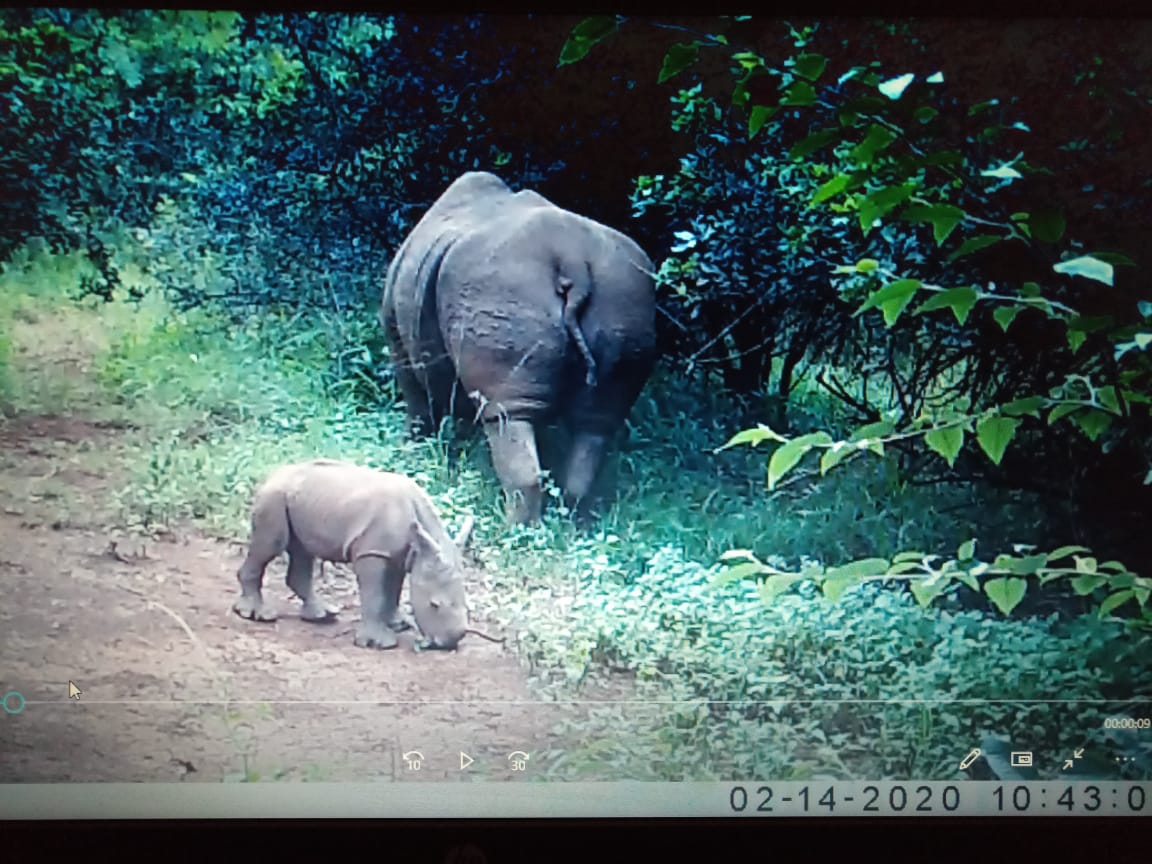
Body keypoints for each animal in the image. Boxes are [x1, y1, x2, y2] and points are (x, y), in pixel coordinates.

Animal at [232, 459, 473, 650]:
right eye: (434, 605)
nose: (449, 643)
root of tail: (271, 475)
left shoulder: (395, 554)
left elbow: (393, 590)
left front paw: (398, 624)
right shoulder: (372, 553)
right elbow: (375, 595)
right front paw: (381, 643)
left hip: (298, 499)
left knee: (302, 551)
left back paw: (323, 615)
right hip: (274, 496)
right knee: (272, 544)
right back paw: (259, 615)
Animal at [382, 171, 657, 523]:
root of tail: (573, 260)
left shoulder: (399, 342)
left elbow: (418, 402)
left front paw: (411, 453)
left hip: (500, 285)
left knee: (505, 414)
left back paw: (511, 527)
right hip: (627, 293)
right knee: (596, 421)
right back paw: (571, 524)